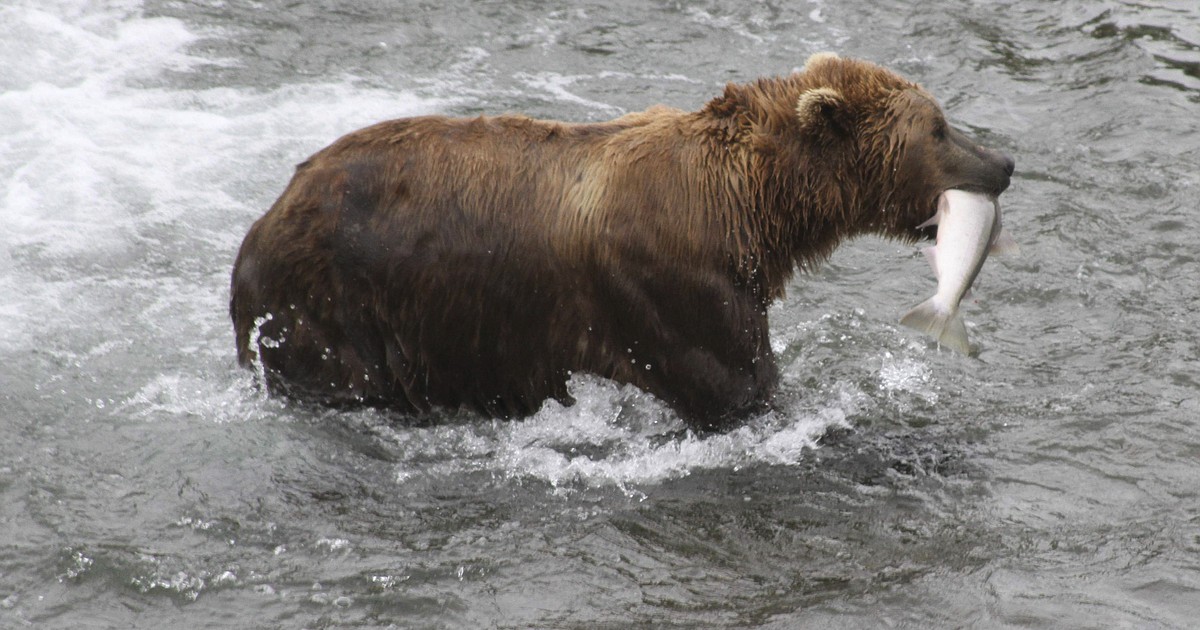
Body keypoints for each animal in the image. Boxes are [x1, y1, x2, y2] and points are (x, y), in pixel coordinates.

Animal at [226, 52, 1012, 432]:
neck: (752, 208)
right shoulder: (673, 287)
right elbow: (741, 389)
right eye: (939, 127)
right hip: (331, 304)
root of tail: (263, 219)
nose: (1003, 162)